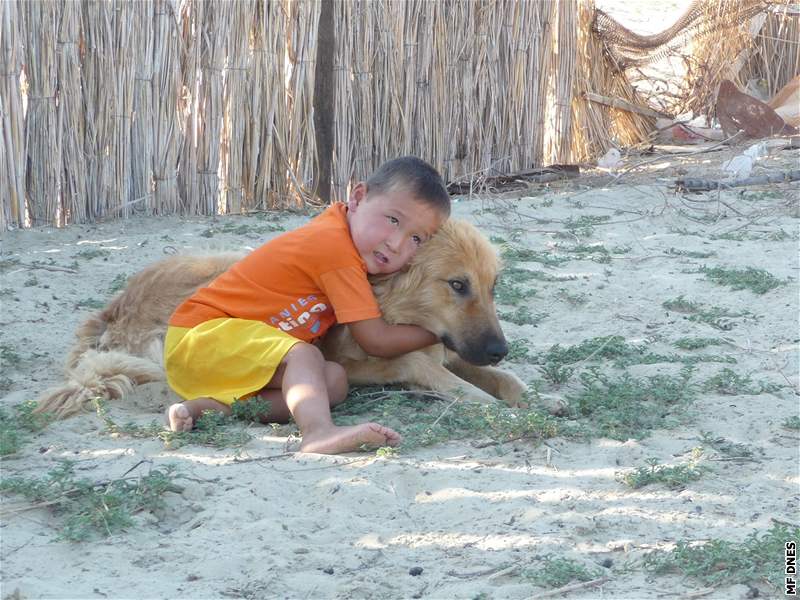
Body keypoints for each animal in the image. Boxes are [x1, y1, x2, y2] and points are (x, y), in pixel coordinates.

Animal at [37, 218, 528, 420]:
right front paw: (480, 398)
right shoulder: (354, 357)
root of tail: (112, 312)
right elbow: (421, 366)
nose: (499, 350)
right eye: (457, 284)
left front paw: (523, 393)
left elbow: (505, 380)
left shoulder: (455, 347)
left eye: (493, 286)